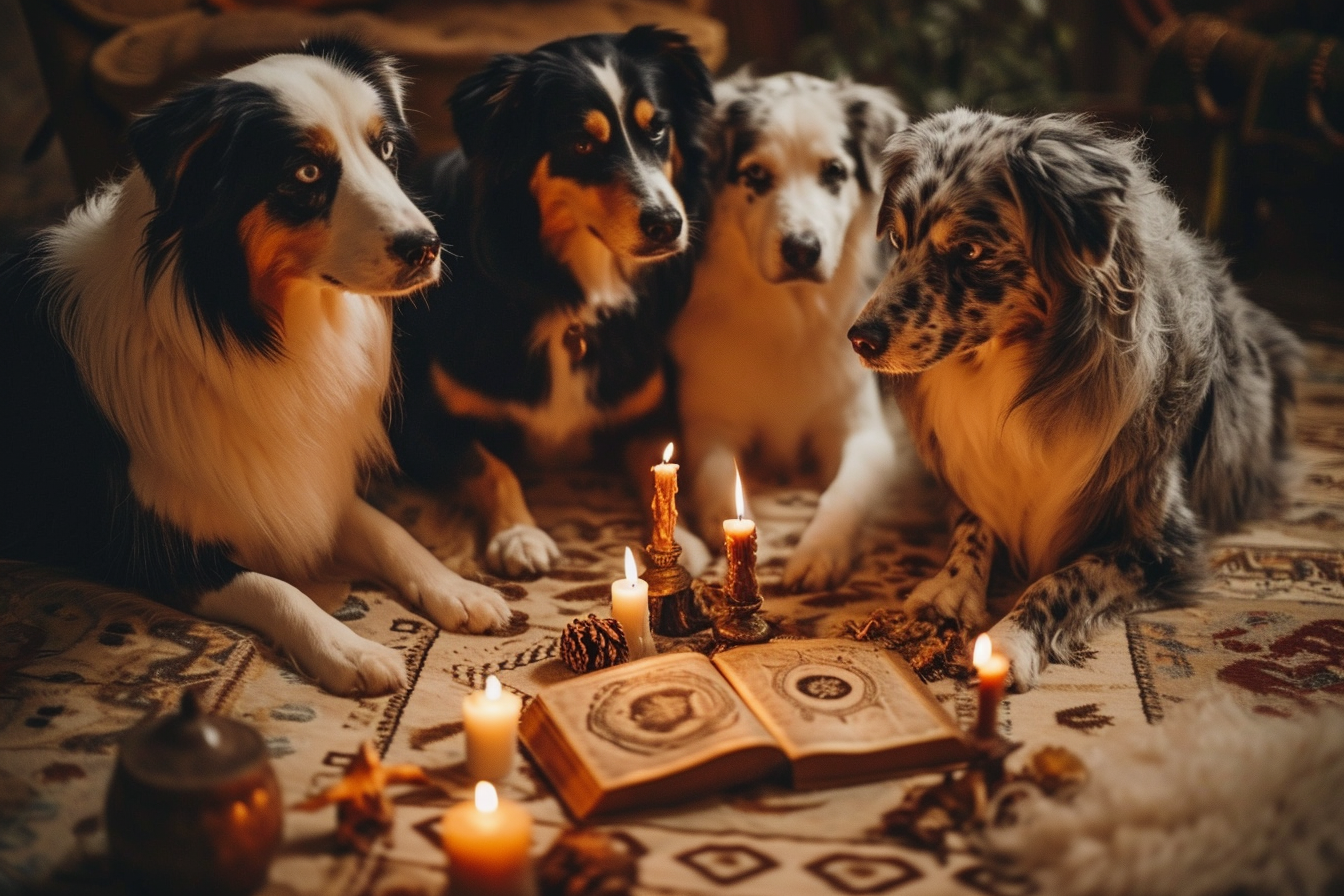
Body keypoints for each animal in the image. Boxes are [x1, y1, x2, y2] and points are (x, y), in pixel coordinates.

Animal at [0, 38, 510, 698]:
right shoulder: (147, 545)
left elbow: (390, 530)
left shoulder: (301, 482)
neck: (254, 330)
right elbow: (274, 587)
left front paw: (459, 588)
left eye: (386, 149)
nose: (426, 247)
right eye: (306, 173)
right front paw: (349, 648)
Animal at [392, 28, 715, 577]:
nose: (669, 224)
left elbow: (659, 466)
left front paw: (684, 539)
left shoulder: (647, 411)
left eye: (657, 130)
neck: (570, 293)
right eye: (581, 143)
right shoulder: (421, 426)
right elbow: (490, 465)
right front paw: (520, 535)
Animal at [669, 71, 908, 588]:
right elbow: (719, 478)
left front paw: (820, 549)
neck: (791, 318)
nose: (802, 248)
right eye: (756, 176)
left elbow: (847, 490)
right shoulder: (710, 425)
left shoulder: (862, 430)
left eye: (834, 172)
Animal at [849, 110, 1300, 687]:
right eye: (897, 239)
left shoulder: (1163, 545)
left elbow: (1065, 580)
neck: (1012, 372)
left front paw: (1008, 638)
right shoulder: (972, 467)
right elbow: (975, 522)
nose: (859, 339)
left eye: (970, 251)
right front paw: (951, 586)